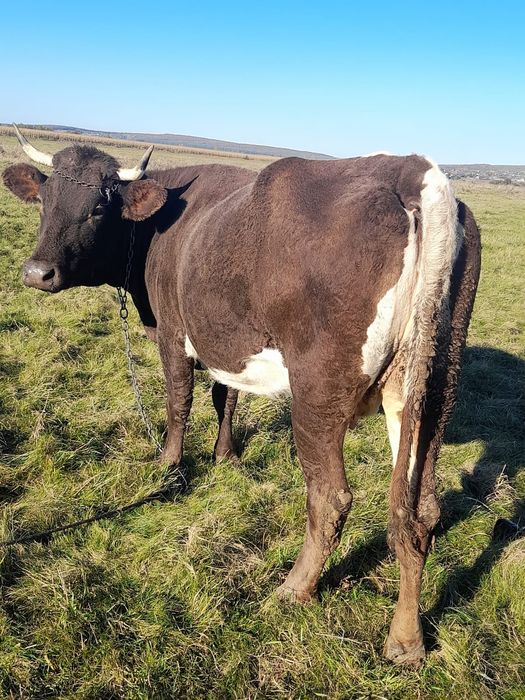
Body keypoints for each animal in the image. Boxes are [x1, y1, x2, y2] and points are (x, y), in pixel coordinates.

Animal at [3, 126, 481, 665]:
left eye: (98, 209)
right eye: (45, 202)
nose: (37, 273)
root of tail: (409, 168)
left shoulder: (174, 333)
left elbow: (179, 402)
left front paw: (169, 466)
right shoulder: (226, 342)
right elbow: (224, 396)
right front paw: (226, 455)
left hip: (318, 395)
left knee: (330, 498)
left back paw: (294, 588)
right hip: (430, 390)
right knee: (420, 510)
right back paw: (405, 637)